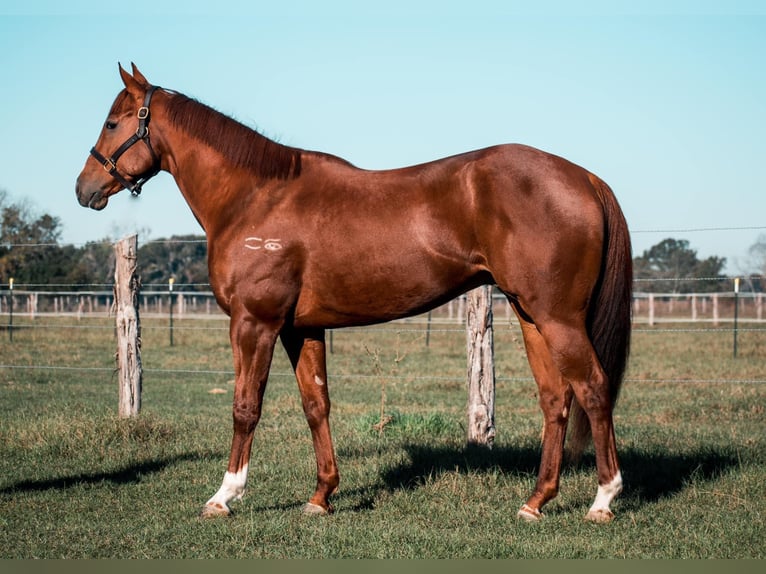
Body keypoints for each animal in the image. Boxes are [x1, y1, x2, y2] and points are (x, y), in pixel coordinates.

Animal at [75, 65, 632, 524]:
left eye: (112, 123)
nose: (84, 189)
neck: (256, 197)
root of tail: (584, 177)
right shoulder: (301, 328)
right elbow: (316, 404)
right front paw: (322, 496)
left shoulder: (255, 323)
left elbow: (245, 406)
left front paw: (224, 495)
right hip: (531, 315)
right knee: (556, 398)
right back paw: (536, 501)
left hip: (558, 318)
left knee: (594, 389)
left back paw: (603, 500)